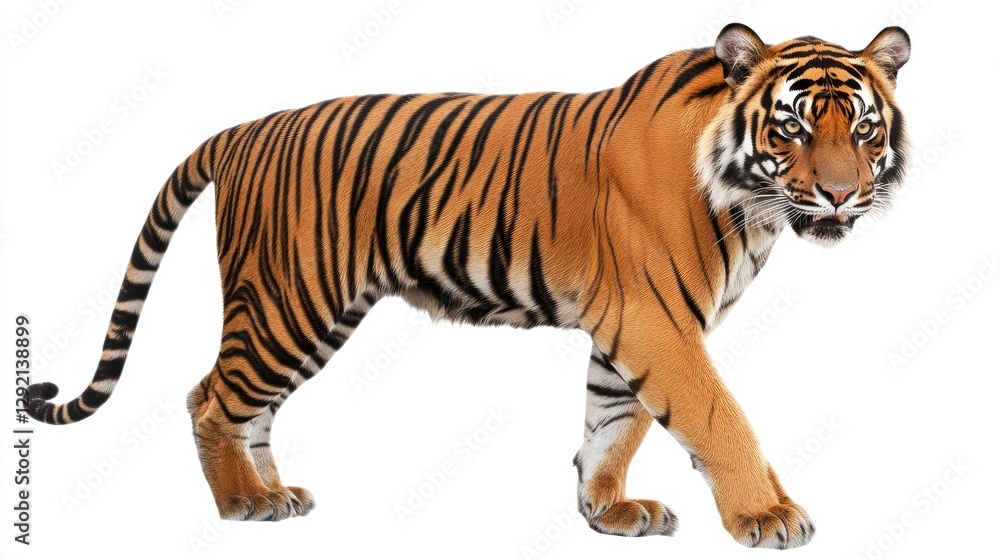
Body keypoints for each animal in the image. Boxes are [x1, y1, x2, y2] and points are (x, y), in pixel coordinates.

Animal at [27, 23, 909, 549]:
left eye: (865, 129)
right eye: (792, 128)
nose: (841, 195)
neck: (750, 208)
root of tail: (244, 129)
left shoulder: (629, 326)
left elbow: (612, 423)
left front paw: (608, 512)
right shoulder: (657, 320)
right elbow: (718, 418)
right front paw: (768, 515)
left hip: (309, 317)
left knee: (254, 407)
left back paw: (273, 492)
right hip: (288, 301)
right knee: (210, 397)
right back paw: (241, 504)